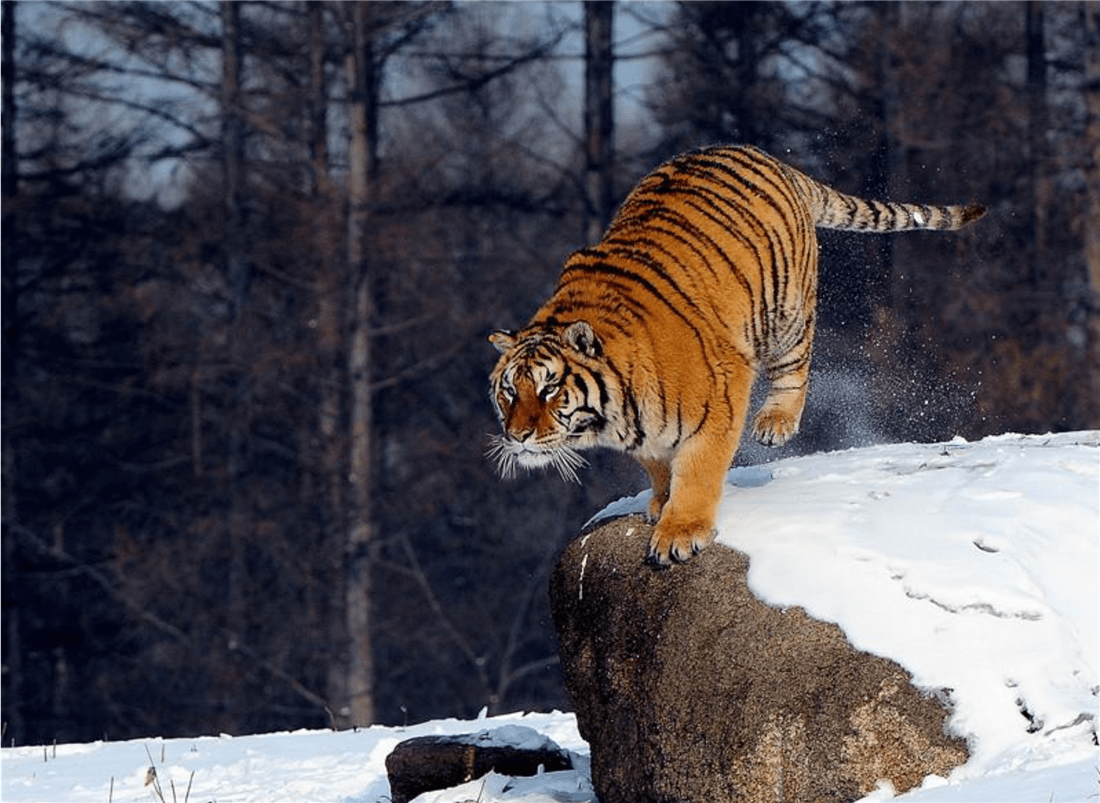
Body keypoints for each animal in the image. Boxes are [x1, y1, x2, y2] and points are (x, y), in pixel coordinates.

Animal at [488, 144, 985, 566]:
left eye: (550, 389)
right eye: (509, 392)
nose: (518, 436)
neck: (614, 412)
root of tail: (767, 156)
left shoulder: (720, 395)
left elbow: (699, 470)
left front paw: (680, 532)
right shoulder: (643, 432)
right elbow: (658, 463)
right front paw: (660, 502)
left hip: (786, 310)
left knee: (796, 365)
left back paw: (776, 421)